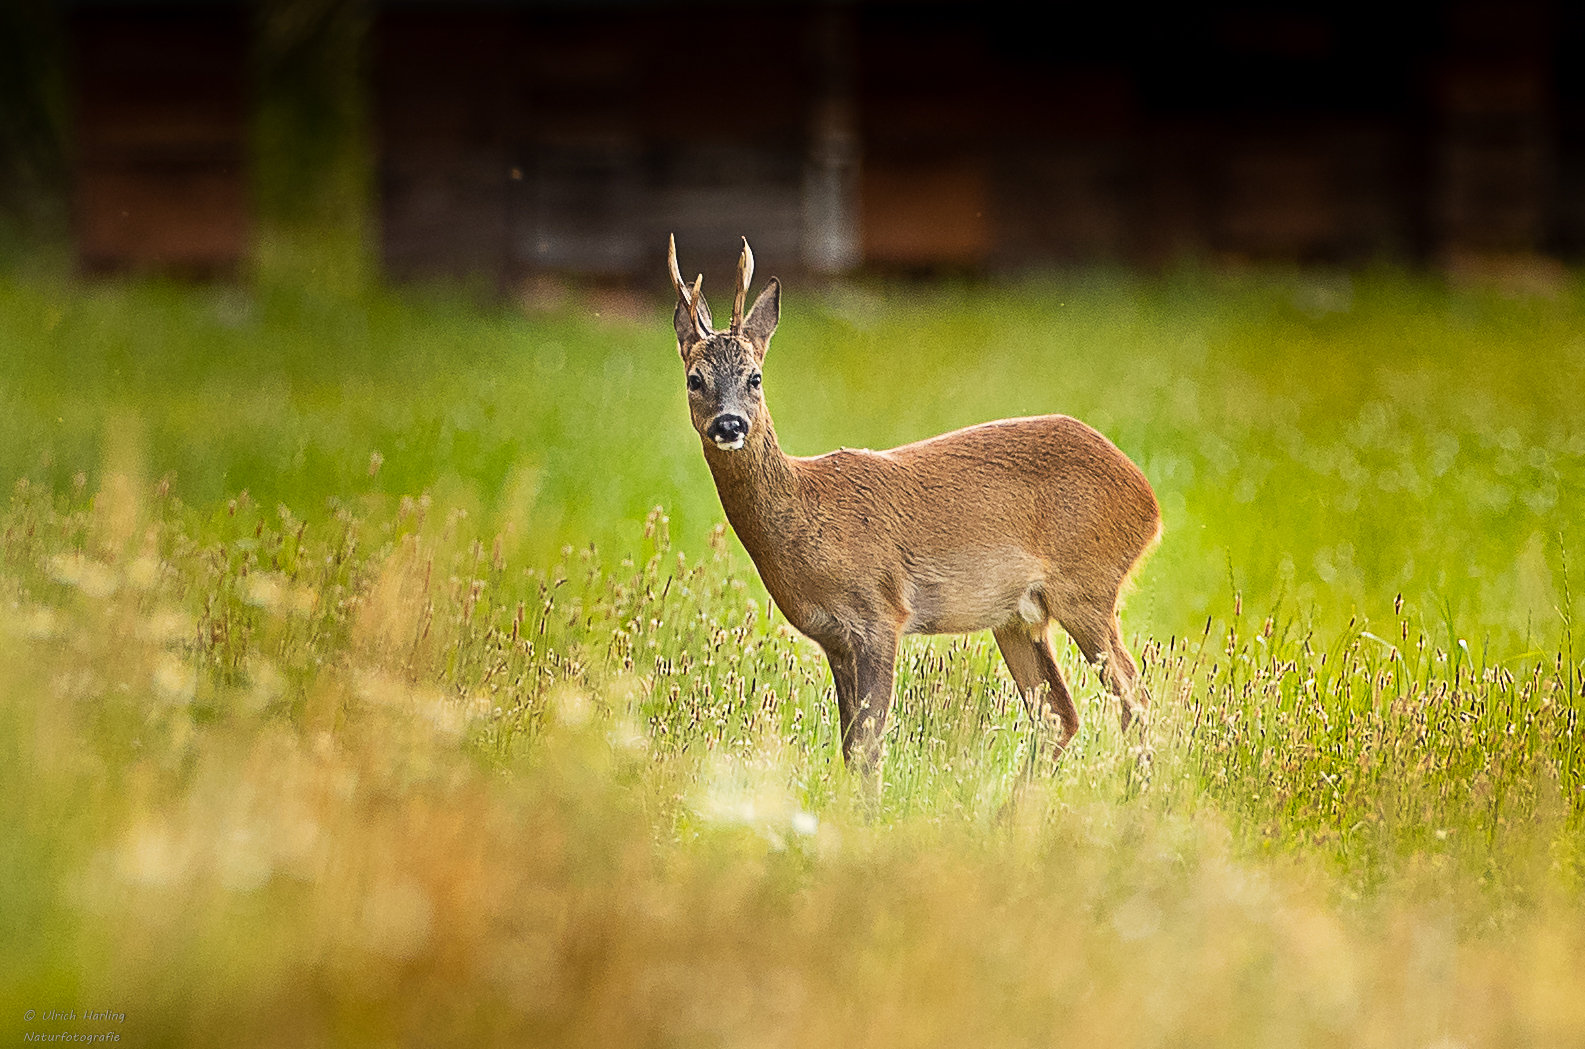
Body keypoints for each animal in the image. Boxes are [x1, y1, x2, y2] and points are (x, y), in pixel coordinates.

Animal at [668, 236, 1166, 779]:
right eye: (694, 379)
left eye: (755, 378)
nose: (730, 424)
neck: (809, 518)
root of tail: (1149, 502)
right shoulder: (834, 638)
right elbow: (851, 748)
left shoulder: (881, 613)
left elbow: (868, 746)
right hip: (1017, 616)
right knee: (1060, 713)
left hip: (1088, 587)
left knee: (1134, 699)